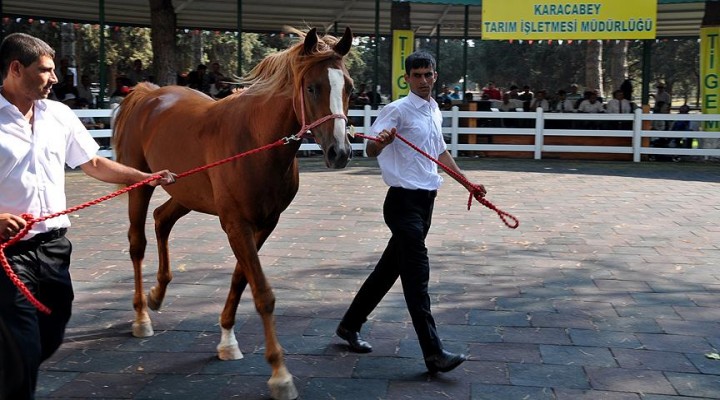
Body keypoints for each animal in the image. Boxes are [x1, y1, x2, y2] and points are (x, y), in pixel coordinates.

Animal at [112, 26, 354, 398]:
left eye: (349, 88)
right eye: (312, 87)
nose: (339, 152)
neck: (254, 141)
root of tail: (148, 94)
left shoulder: (264, 224)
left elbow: (242, 278)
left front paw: (227, 340)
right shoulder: (236, 224)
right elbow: (263, 292)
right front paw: (280, 374)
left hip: (186, 192)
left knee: (162, 220)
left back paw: (157, 294)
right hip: (140, 186)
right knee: (137, 243)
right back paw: (141, 317)